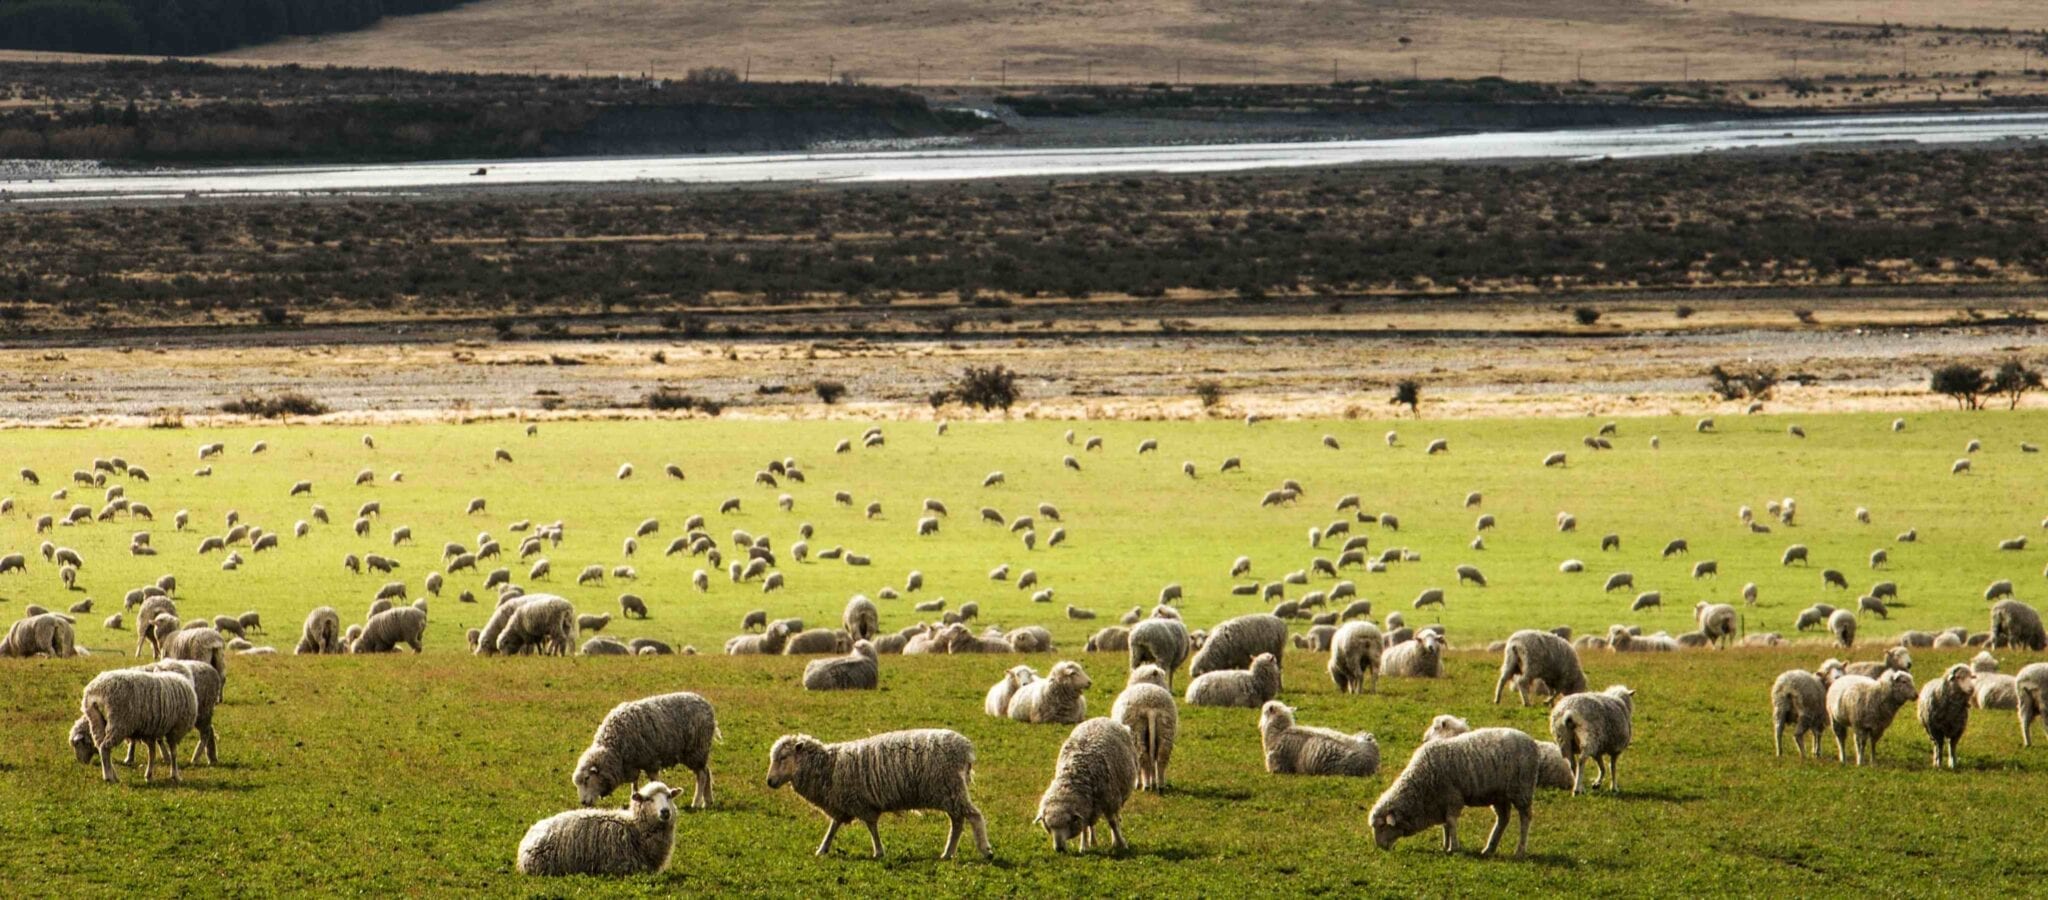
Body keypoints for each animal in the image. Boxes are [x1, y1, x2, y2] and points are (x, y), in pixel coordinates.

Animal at [766, 729, 990, 859]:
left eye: (783, 757)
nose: (769, 782)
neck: (828, 766)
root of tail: (965, 749)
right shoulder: (841, 803)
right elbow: (833, 827)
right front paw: (822, 849)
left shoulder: (860, 802)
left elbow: (871, 827)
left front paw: (879, 851)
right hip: (949, 792)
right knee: (958, 822)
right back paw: (948, 853)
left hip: (951, 789)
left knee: (974, 816)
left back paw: (985, 850)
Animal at [1033, 718, 1140, 853]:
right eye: (1048, 825)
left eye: (1068, 822)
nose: (1059, 849)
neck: (1074, 774)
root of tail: (1100, 718)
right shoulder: (1084, 808)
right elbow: (1084, 826)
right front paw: (1083, 846)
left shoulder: (1109, 801)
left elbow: (1113, 824)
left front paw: (1121, 843)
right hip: (1093, 805)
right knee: (1091, 824)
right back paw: (1093, 841)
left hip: (1117, 797)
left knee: (1116, 818)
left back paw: (1115, 839)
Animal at [1367, 728, 1538, 857]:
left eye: (1382, 826)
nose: (1380, 847)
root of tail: (1531, 742)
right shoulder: (1441, 801)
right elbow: (1445, 825)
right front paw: (1445, 844)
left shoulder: (1453, 798)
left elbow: (1451, 822)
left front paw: (1453, 848)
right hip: (1499, 795)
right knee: (1503, 819)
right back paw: (1489, 849)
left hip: (1522, 789)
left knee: (1525, 818)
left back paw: (1520, 851)